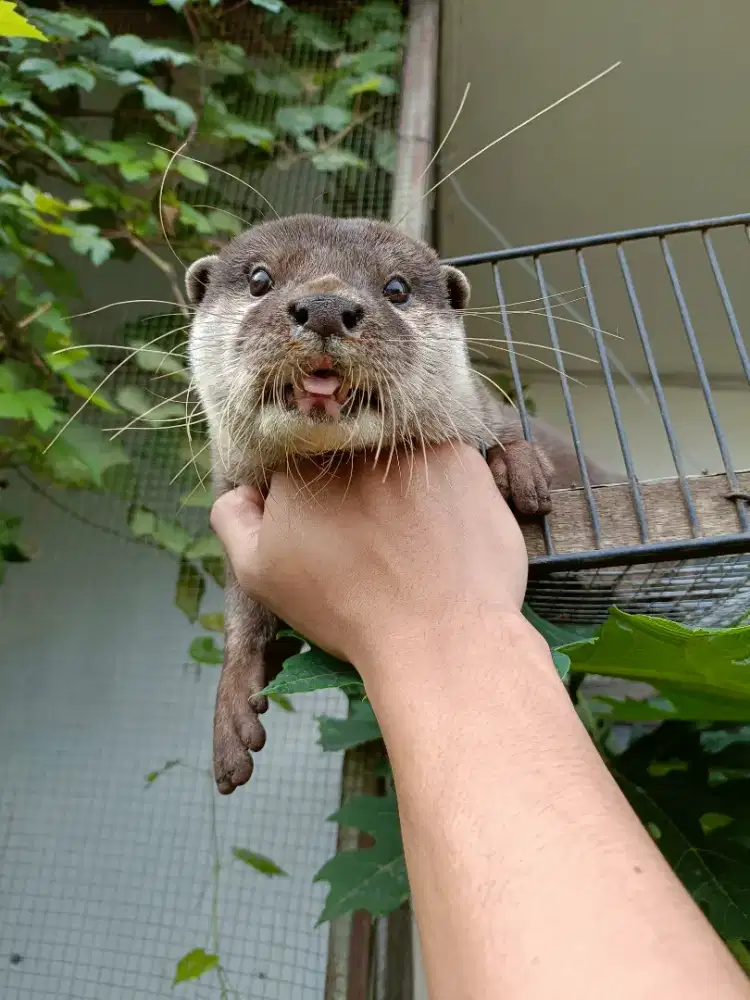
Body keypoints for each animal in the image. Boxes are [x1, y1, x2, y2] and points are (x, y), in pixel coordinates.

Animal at [186, 214, 613, 795]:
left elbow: (503, 434)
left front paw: (514, 463)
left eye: (396, 288)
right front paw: (232, 708)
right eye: (258, 280)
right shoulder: (233, 499)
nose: (325, 306)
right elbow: (243, 614)